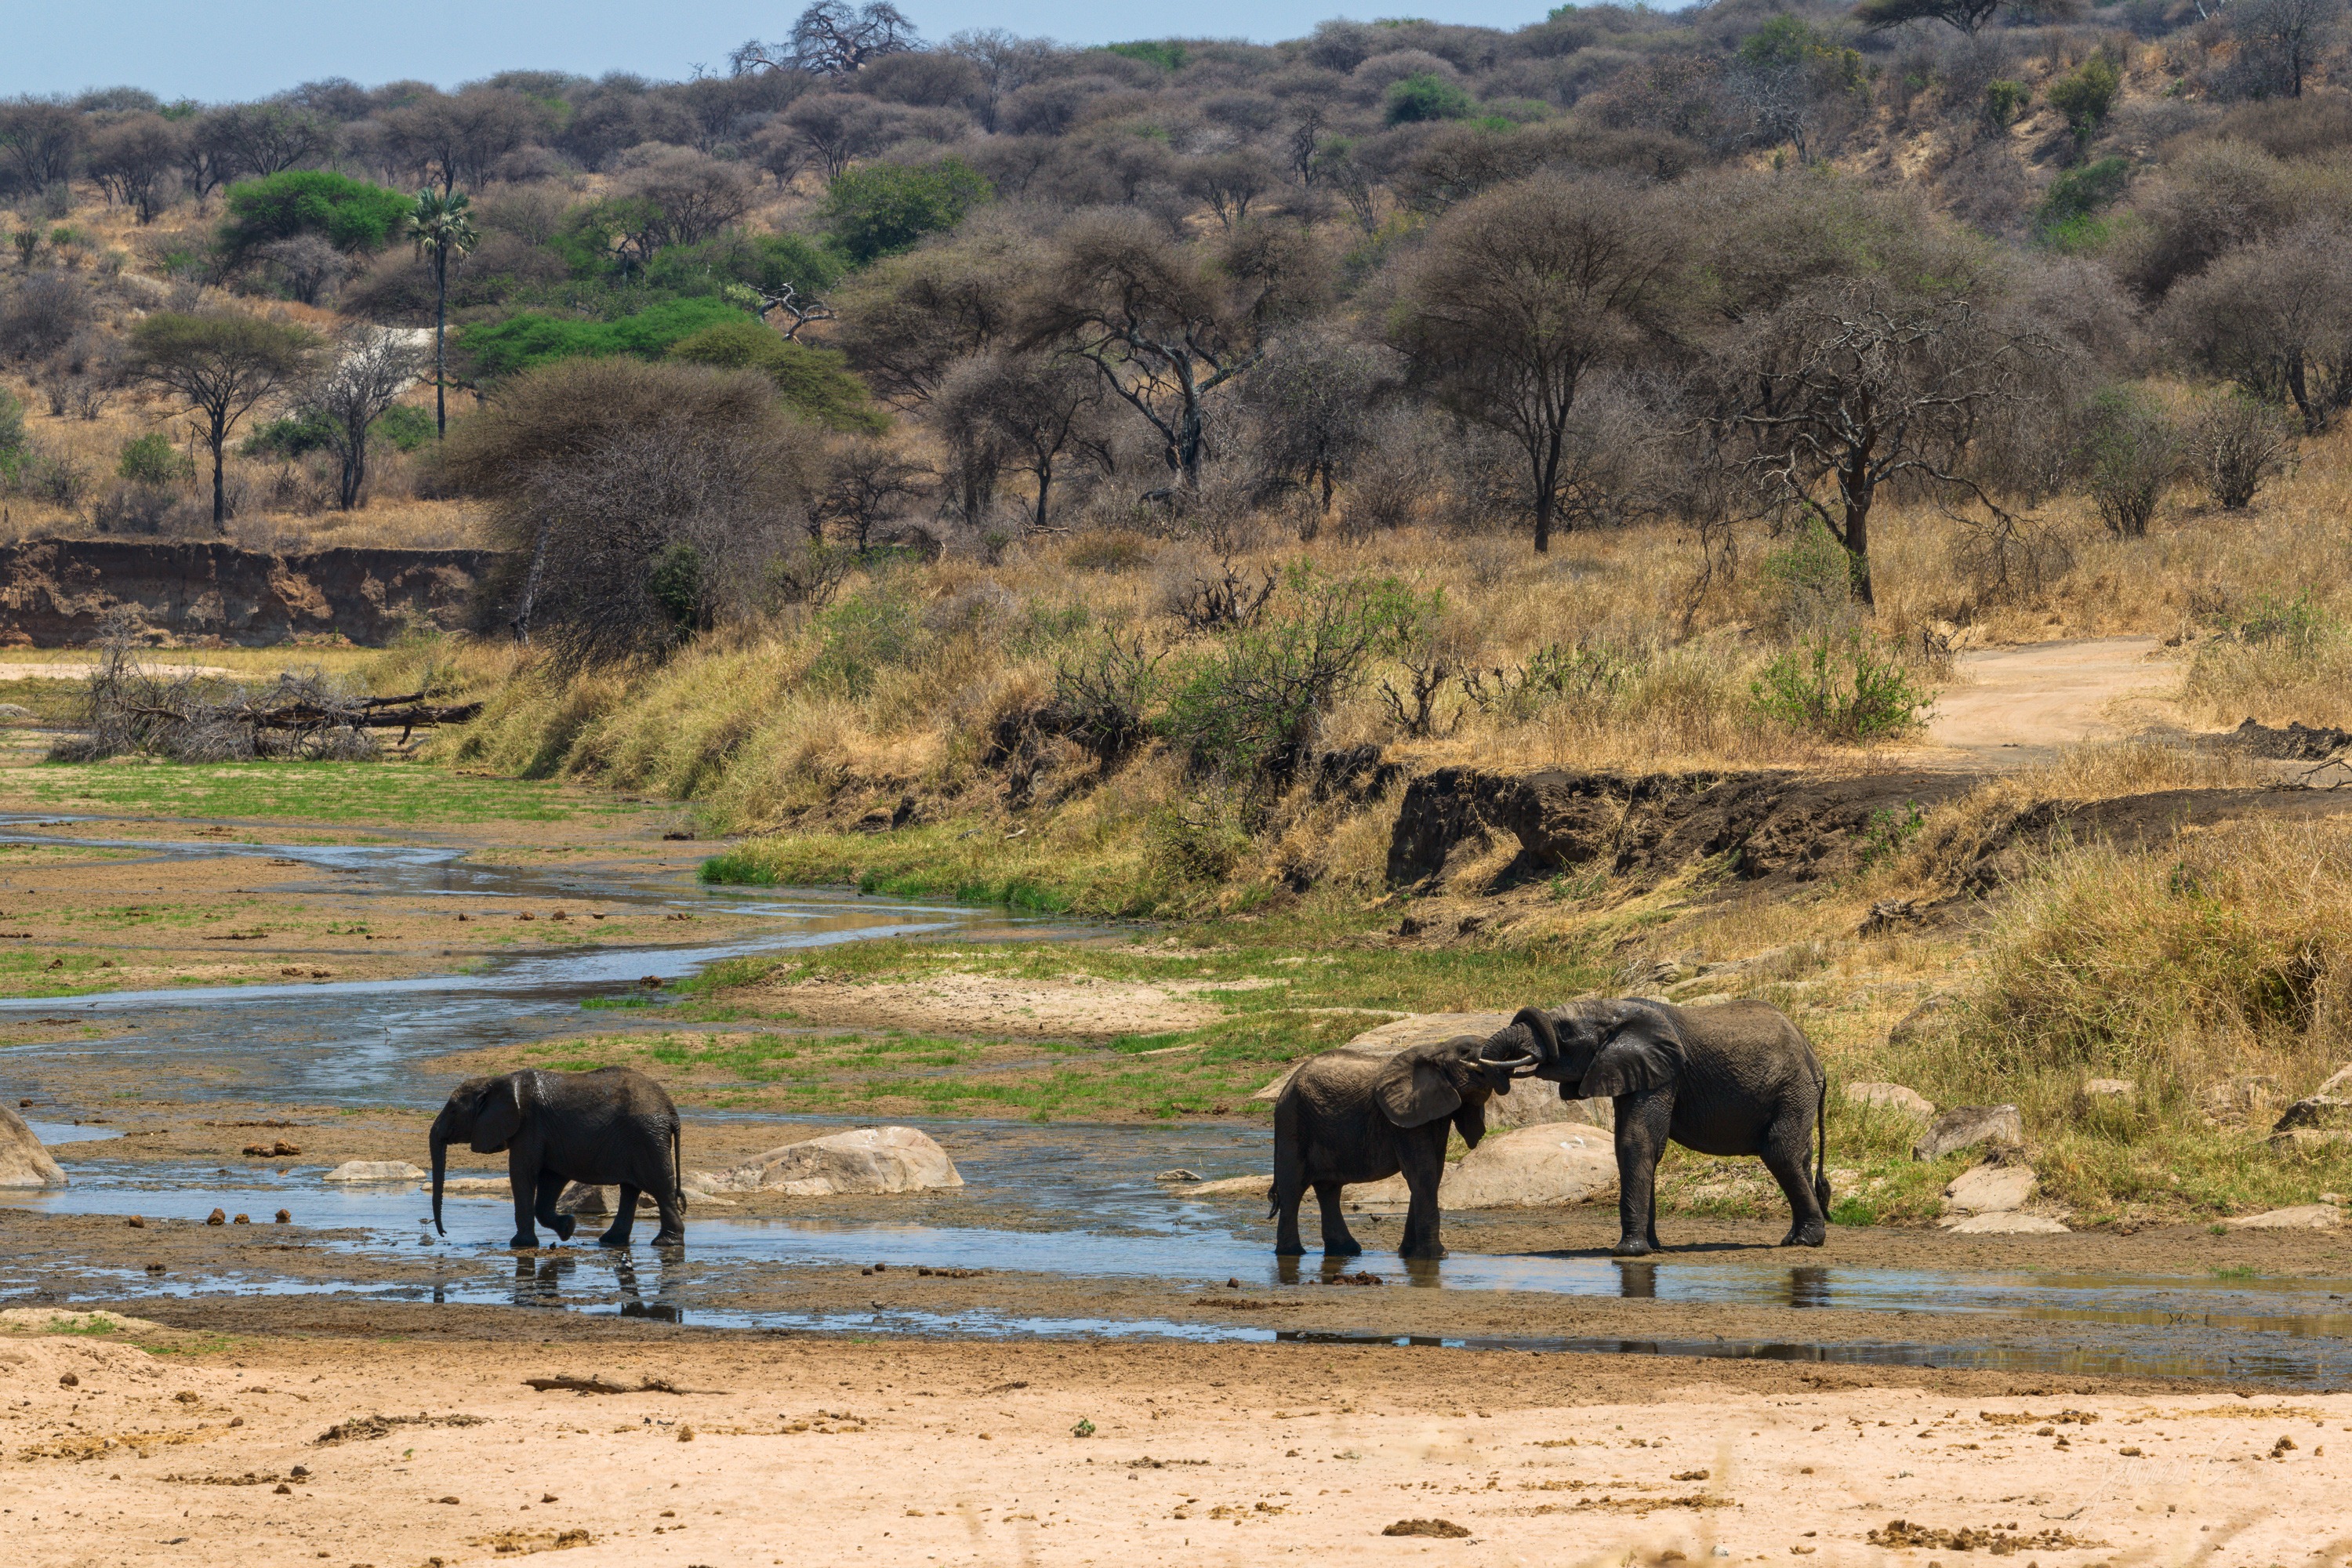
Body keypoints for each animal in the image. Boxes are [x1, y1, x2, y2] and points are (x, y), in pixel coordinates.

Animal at [430, 1066, 684, 1249]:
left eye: (453, 1110)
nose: (444, 1234)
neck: (498, 1080)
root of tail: (671, 1110)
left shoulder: (530, 1126)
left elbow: (522, 1173)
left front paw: (520, 1245)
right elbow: (551, 1179)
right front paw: (568, 1228)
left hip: (647, 1136)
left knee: (660, 1187)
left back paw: (665, 1243)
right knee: (631, 1189)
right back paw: (610, 1241)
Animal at [1270, 1031, 1540, 1259]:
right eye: (1464, 1052)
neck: (1436, 1050)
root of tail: (1286, 1085)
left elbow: (1433, 1173)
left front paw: (1409, 1255)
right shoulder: (1403, 1118)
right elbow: (1423, 1173)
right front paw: (1437, 1256)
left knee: (1329, 1189)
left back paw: (1346, 1251)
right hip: (1292, 1122)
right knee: (1293, 1187)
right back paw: (1292, 1253)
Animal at [1499, 997, 1829, 1257]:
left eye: (1564, 1032)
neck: (1614, 1007)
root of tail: (1816, 1059)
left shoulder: (1664, 1075)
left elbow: (1637, 1142)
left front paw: (1628, 1252)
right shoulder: (1634, 1072)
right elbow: (1633, 1146)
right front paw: (1653, 1248)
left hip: (1792, 1090)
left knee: (1780, 1152)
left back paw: (1806, 1242)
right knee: (1799, 1157)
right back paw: (1792, 1238)